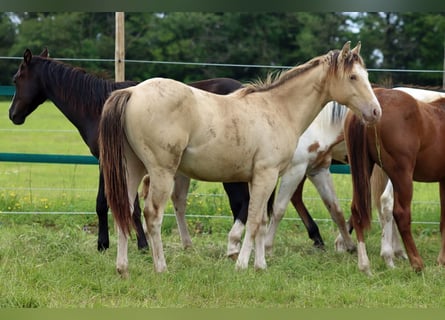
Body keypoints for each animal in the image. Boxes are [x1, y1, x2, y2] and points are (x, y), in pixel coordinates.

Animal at [6, 48, 243, 252]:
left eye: (16, 79)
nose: (12, 114)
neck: (99, 107)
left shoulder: (110, 161)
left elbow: (107, 203)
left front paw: (116, 245)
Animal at [99, 40, 380, 276]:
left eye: (366, 76)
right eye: (353, 77)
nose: (376, 111)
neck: (278, 109)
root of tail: (133, 92)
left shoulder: (263, 178)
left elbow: (263, 220)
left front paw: (260, 265)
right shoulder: (267, 175)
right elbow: (254, 220)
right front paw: (243, 264)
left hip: (133, 169)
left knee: (124, 209)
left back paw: (122, 268)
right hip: (162, 172)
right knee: (152, 215)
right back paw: (161, 267)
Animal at [346, 87, 444, 276]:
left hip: (363, 169)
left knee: (357, 210)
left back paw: (365, 266)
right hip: (402, 176)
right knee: (400, 213)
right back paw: (416, 263)